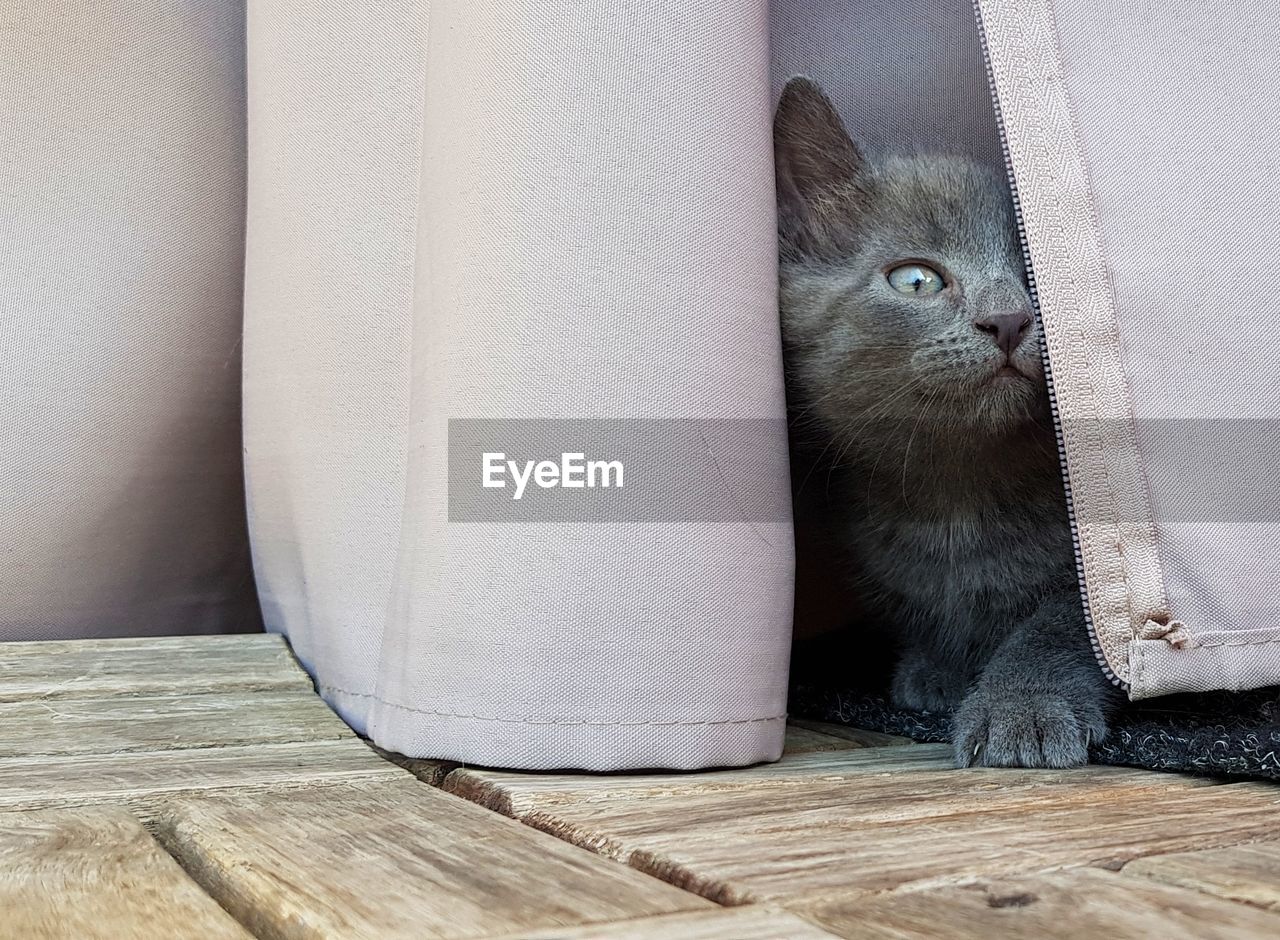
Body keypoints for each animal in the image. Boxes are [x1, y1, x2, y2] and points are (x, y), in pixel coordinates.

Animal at [768, 77, 1121, 768]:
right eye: (916, 279)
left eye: (1039, 277)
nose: (1008, 319)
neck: (960, 502)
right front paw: (937, 669)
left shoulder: (1085, 584)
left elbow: (1062, 625)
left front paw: (1021, 709)